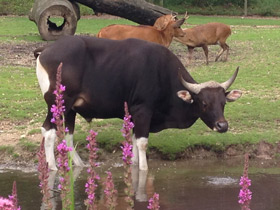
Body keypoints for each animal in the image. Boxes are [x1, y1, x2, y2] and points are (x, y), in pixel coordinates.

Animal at [34, 36, 242, 171]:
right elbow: (142, 144)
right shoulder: (142, 111)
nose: (222, 126)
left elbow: (133, 143)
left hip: (70, 109)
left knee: (67, 134)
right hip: (57, 103)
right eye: (204, 103)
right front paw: (143, 169)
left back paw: (79, 164)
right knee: (48, 131)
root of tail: (44, 52)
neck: (163, 74)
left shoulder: (134, 115)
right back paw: (52, 167)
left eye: (223, 103)